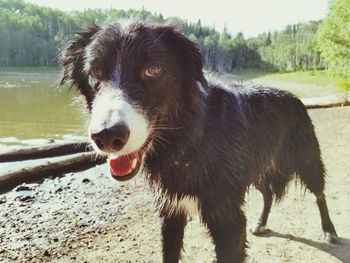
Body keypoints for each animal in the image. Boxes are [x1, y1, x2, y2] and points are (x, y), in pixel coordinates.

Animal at [60, 22, 336, 263]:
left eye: (153, 70)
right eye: (95, 72)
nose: (107, 136)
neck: (189, 139)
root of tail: (294, 97)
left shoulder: (229, 222)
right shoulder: (170, 214)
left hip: (307, 160)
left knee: (320, 194)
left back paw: (329, 230)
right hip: (256, 169)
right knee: (267, 193)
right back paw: (261, 223)